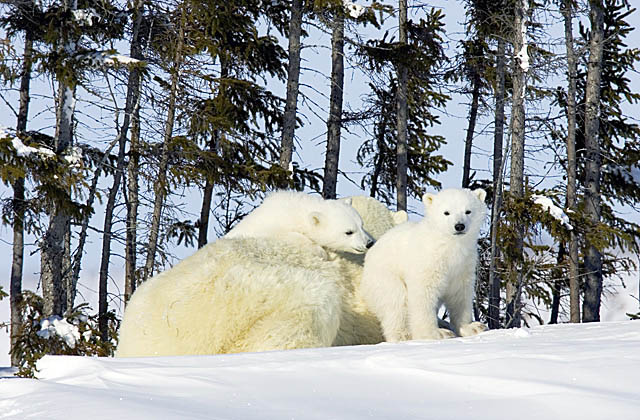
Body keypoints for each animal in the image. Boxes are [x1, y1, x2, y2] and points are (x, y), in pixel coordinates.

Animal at [360, 188, 484, 342]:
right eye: (446, 212)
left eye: (468, 211)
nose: (459, 226)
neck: (447, 246)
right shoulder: (428, 261)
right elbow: (423, 294)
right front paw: (436, 333)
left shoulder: (463, 265)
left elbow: (460, 295)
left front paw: (472, 327)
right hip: (385, 277)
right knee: (397, 301)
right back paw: (403, 335)